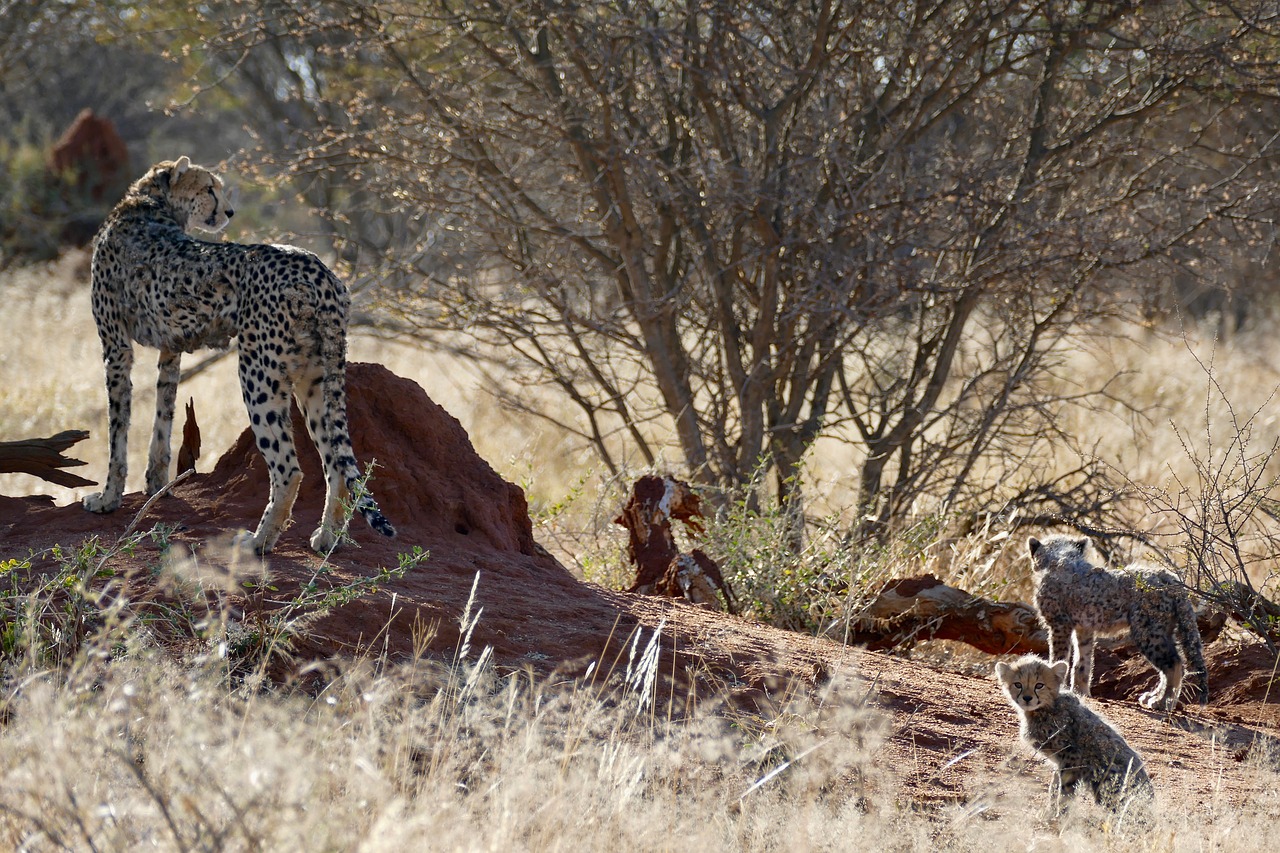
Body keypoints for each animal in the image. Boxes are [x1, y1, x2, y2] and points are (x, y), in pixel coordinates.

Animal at [85, 154, 394, 550]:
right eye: (208, 188)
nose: (229, 212)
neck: (152, 204)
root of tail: (319, 268)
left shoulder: (116, 346)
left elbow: (117, 427)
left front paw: (108, 497)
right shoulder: (170, 350)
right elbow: (162, 418)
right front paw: (156, 484)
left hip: (258, 372)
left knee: (290, 468)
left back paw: (258, 542)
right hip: (316, 375)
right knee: (335, 463)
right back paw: (327, 538)